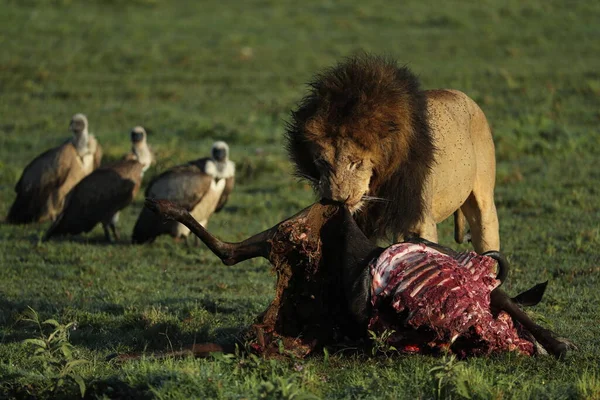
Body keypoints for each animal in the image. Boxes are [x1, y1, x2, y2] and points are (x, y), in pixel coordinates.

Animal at [284, 54, 496, 253]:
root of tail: (464, 96)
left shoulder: (418, 219)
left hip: (484, 207)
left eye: (356, 162)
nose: (339, 199)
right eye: (322, 162)